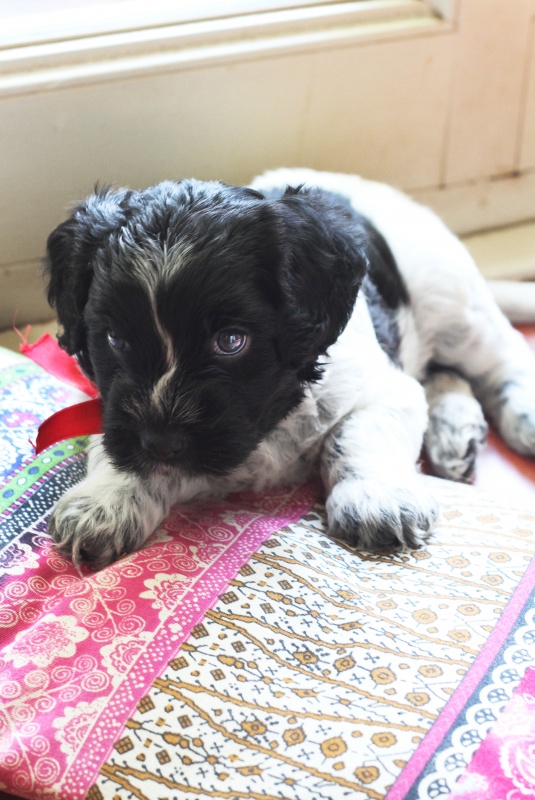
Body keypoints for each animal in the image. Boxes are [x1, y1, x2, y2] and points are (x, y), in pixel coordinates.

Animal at [43, 168, 535, 569]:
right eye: (114, 339)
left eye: (231, 341)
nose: (161, 442)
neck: (272, 417)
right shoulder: (115, 411)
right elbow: (113, 440)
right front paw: (104, 501)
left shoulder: (385, 391)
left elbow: (356, 433)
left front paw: (376, 499)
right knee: (444, 374)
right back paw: (457, 432)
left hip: (455, 306)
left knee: (502, 357)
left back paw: (518, 418)